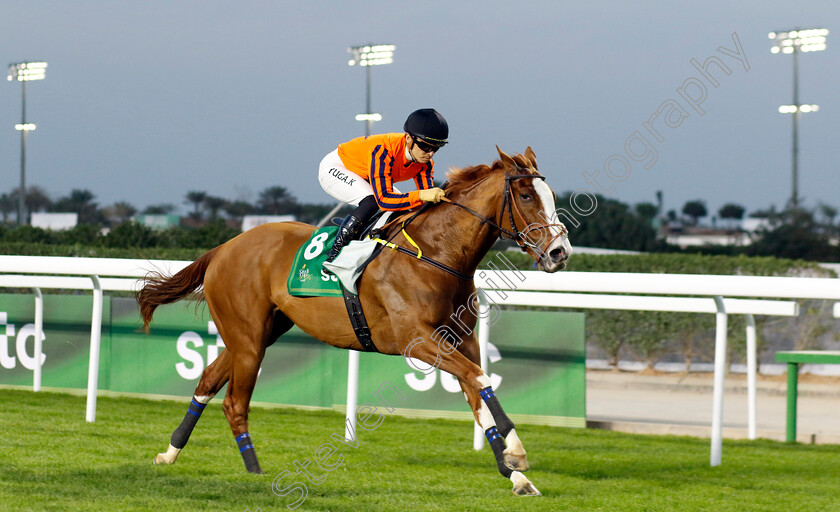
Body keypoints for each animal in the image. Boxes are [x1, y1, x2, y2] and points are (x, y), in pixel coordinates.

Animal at [138, 147, 572, 496]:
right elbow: (480, 380)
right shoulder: (419, 341)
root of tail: (224, 247)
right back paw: (255, 471)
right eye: (527, 195)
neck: (436, 255)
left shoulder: (462, 342)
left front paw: (516, 474)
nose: (560, 252)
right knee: (233, 402)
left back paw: (169, 454)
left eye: (551, 196)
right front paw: (517, 455)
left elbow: (480, 393)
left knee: (208, 382)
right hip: (247, 338)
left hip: (260, 333)